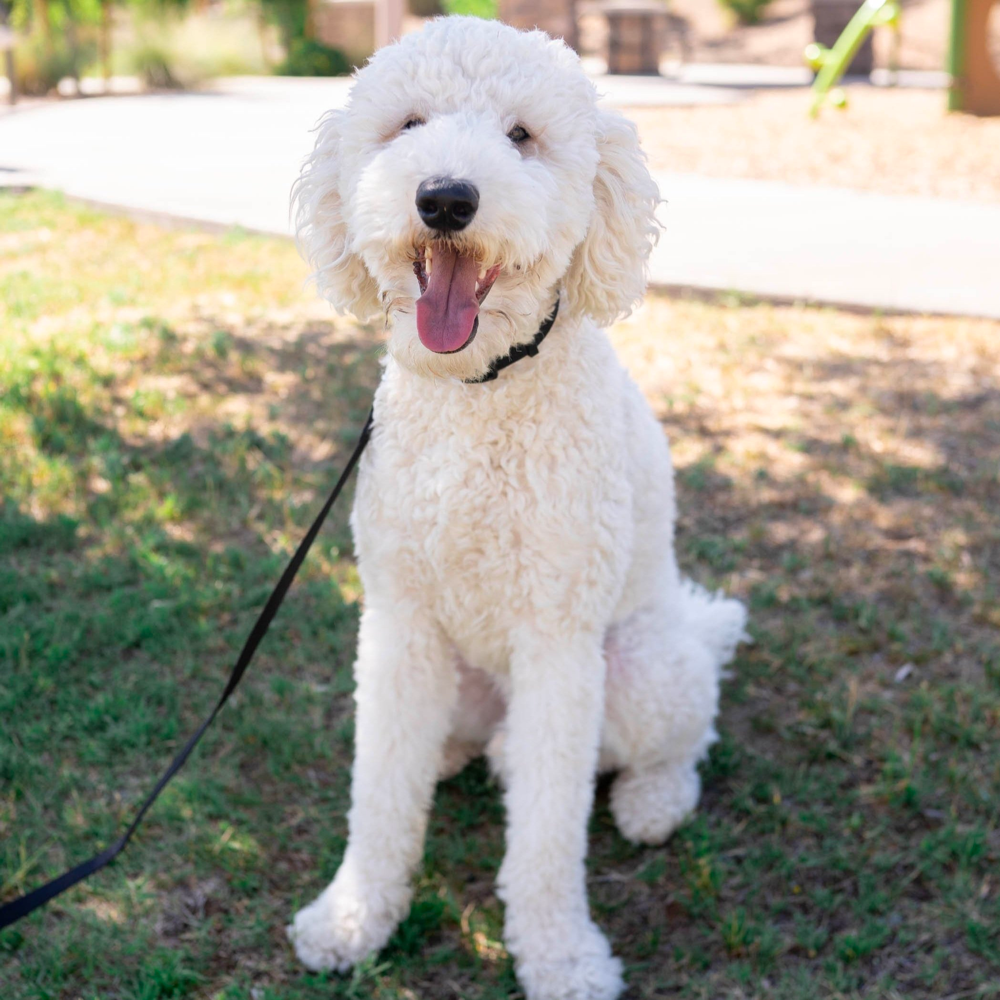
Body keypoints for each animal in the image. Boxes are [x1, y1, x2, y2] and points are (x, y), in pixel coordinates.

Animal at [286, 17, 748, 1000]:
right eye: (409, 123)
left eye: (522, 136)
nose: (445, 198)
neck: (480, 391)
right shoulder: (400, 623)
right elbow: (379, 792)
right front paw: (353, 916)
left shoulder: (559, 646)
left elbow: (548, 834)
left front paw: (562, 955)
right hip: (455, 678)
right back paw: (457, 756)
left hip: (642, 669)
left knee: (683, 737)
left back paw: (654, 800)